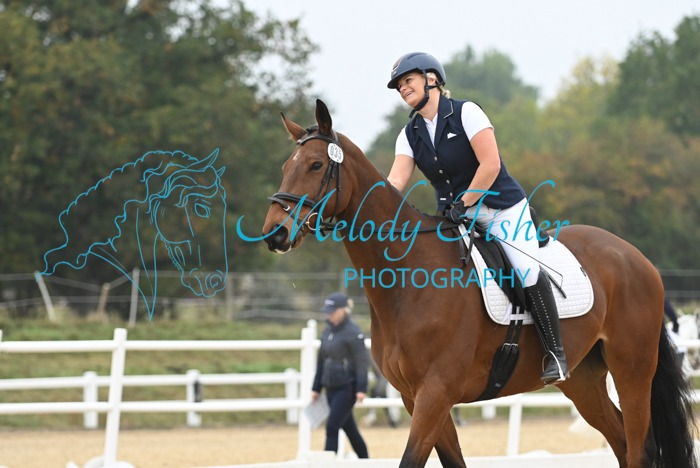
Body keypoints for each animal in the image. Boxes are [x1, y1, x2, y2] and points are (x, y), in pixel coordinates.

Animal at [258, 99, 697, 467]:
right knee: (620, 442)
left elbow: (411, 460)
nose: (274, 234)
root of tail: (636, 258)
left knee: (639, 447)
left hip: (632, 370)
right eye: (283, 167)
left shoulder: (436, 392)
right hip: (585, 380)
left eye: (316, 165)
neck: (407, 281)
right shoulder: (417, 396)